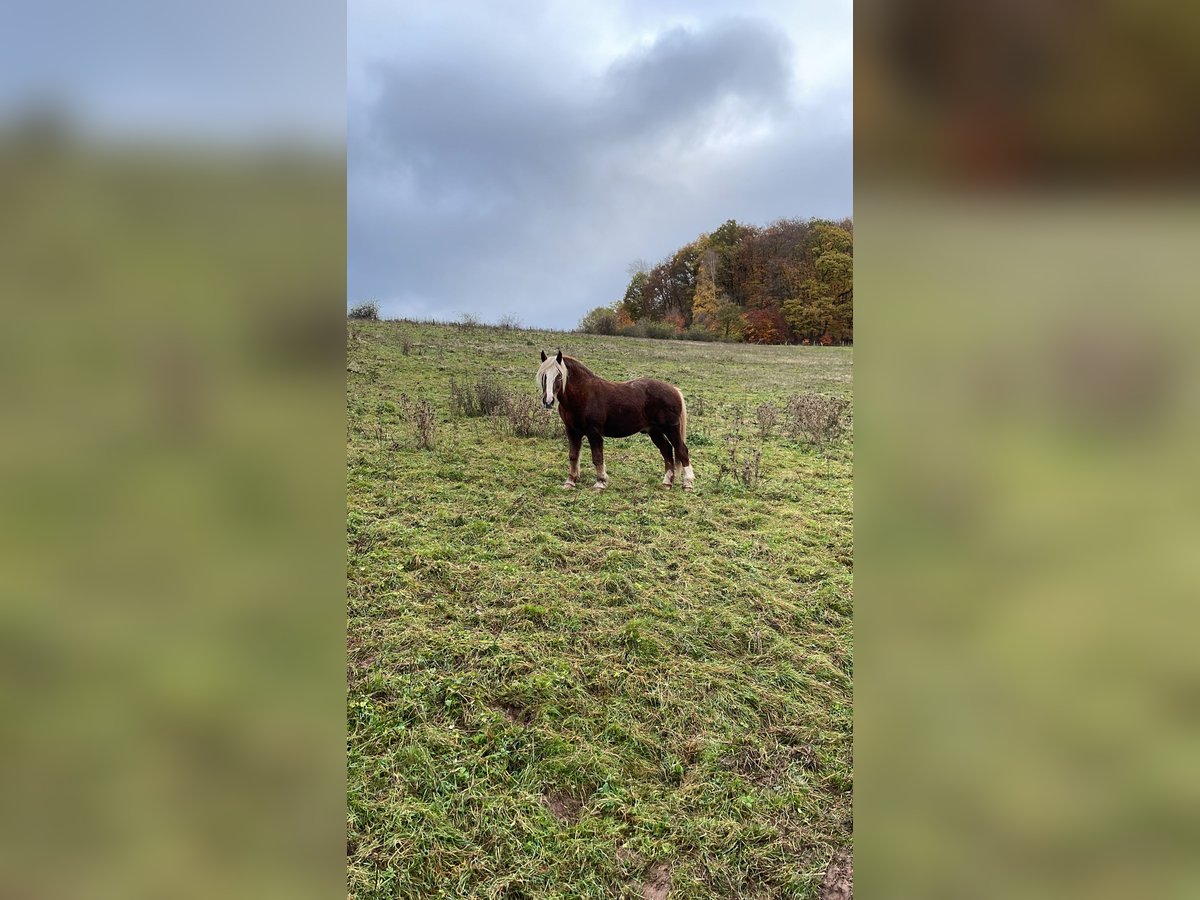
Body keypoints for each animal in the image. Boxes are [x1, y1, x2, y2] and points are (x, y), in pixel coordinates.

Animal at [535, 352, 696, 494]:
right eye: (543, 375)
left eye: (559, 375)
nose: (548, 401)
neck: (583, 395)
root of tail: (674, 389)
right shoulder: (572, 431)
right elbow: (573, 456)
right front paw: (570, 482)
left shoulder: (594, 432)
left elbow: (597, 457)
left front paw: (600, 483)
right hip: (654, 431)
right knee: (667, 450)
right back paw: (667, 483)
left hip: (671, 429)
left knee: (681, 450)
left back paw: (688, 484)